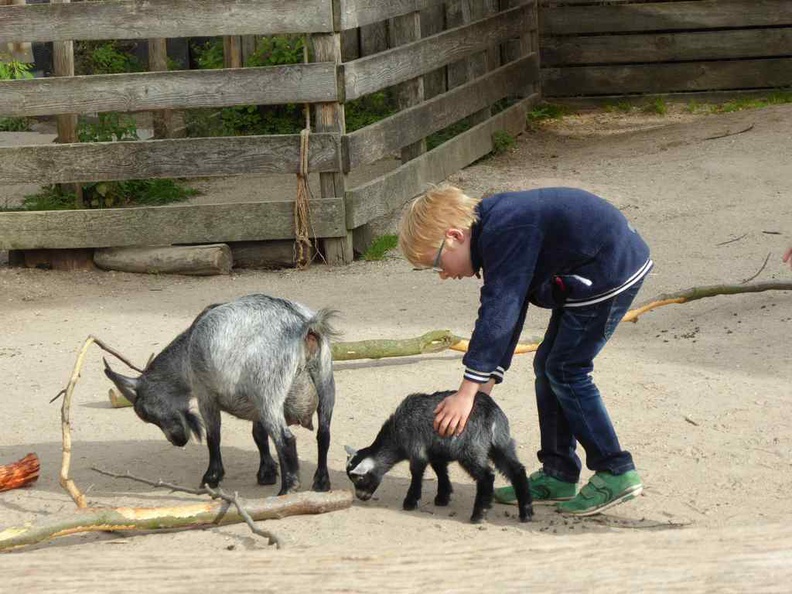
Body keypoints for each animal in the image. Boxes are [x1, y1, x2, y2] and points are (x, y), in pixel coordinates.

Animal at [103, 294, 336, 492]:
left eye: (147, 412)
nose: (177, 441)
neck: (187, 349)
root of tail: (304, 325)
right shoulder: (254, 405)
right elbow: (259, 435)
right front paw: (266, 473)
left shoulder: (205, 394)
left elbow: (213, 436)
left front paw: (211, 478)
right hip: (326, 383)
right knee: (323, 434)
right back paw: (321, 482)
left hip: (269, 393)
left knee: (285, 439)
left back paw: (287, 489)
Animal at [346, 390, 532, 520]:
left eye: (360, 479)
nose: (360, 497)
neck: (396, 435)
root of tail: (491, 413)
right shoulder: (436, 451)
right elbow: (440, 470)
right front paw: (443, 496)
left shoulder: (417, 448)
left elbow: (416, 473)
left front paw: (411, 501)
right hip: (501, 443)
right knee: (517, 470)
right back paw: (526, 512)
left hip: (470, 447)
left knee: (487, 475)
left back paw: (479, 514)